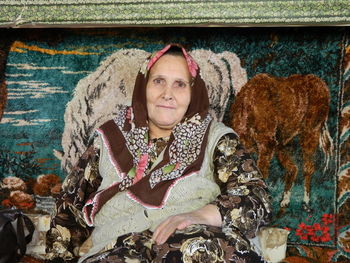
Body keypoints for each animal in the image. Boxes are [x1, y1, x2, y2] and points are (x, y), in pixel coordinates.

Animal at [231, 73, 332, 213]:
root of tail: (321, 83)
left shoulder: (267, 144)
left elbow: (261, 174)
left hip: (310, 131)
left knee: (308, 167)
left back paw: (305, 202)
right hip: (282, 141)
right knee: (293, 168)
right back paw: (285, 201)